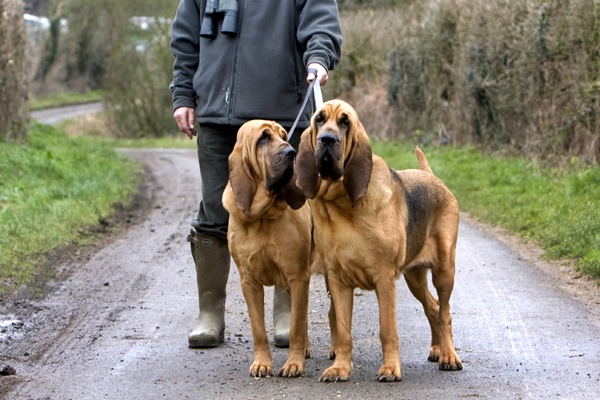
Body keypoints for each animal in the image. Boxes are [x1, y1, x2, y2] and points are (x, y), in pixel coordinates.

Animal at [223, 119, 312, 378]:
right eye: (263, 137)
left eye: (284, 136)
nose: (291, 152)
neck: (262, 215)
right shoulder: (249, 282)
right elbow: (258, 329)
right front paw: (262, 363)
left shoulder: (297, 276)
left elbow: (295, 327)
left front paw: (293, 364)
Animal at [296, 98, 464, 382]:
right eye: (319, 119)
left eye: (345, 122)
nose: (327, 139)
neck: (342, 202)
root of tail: (433, 177)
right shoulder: (338, 281)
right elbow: (343, 331)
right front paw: (340, 368)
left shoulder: (384, 278)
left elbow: (387, 329)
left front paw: (391, 369)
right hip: (414, 276)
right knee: (432, 306)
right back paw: (436, 349)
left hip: (444, 272)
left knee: (444, 311)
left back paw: (449, 355)